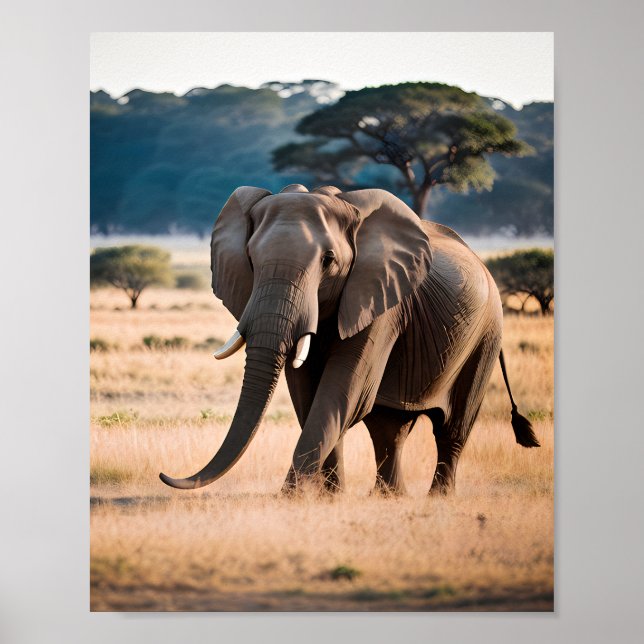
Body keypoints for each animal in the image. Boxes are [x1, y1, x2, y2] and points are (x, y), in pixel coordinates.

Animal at [160, 184, 539, 495]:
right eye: (251, 258)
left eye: (329, 261)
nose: (166, 476)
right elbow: (309, 395)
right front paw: (328, 498)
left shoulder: (382, 301)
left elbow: (342, 390)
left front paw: (291, 498)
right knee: (388, 428)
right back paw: (389, 498)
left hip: (487, 334)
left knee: (453, 428)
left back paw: (438, 499)